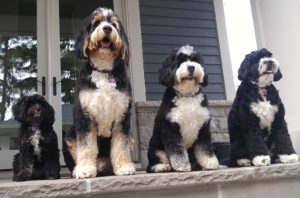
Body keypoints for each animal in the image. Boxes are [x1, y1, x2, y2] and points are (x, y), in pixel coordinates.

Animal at [63, 7, 136, 178]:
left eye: (114, 25)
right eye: (96, 23)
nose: (107, 28)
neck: (103, 70)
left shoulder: (122, 115)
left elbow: (120, 145)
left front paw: (124, 167)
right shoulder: (85, 115)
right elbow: (86, 147)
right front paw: (84, 169)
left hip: (131, 137)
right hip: (69, 135)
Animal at [146, 45, 219, 173]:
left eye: (195, 60)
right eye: (180, 61)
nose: (191, 67)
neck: (187, 95)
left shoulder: (203, 127)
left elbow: (205, 148)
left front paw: (210, 163)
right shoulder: (170, 128)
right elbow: (177, 151)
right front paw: (182, 166)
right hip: (156, 150)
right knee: (152, 165)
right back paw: (162, 167)